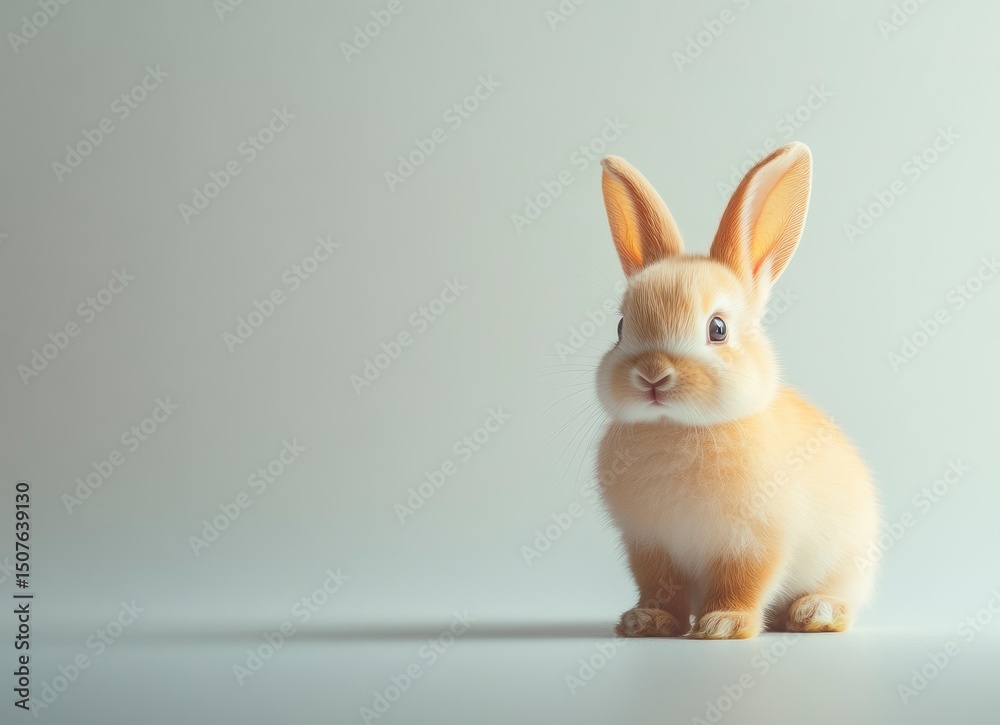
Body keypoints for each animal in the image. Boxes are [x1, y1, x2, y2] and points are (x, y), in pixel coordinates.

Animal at [594, 142, 880, 639]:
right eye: (621, 327)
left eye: (718, 329)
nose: (652, 375)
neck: (676, 429)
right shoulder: (649, 546)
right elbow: (660, 587)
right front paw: (648, 621)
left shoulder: (756, 541)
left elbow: (743, 582)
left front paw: (723, 625)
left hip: (846, 563)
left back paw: (815, 613)